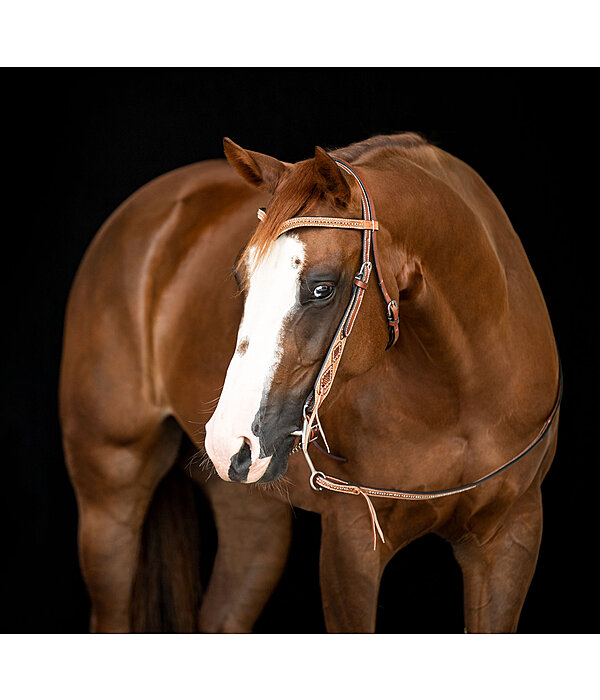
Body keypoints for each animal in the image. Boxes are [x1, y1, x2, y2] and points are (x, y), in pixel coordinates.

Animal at [58, 133, 560, 636]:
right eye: (241, 278)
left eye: (322, 288)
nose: (226, 441)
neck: (463, 392)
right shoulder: (351, 541)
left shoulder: (513, 534)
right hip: (110, 491)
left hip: (252, 512)